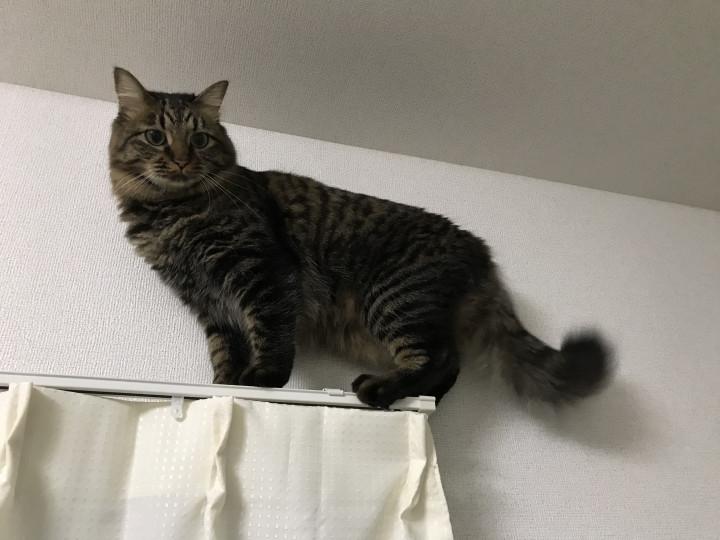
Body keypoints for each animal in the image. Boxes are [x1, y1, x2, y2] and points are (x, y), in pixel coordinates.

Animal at [109, 67, 612, 408]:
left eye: (199, 140)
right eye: (156, 137)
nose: (180, 160)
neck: (171, 214)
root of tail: (479, 250)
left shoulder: (260, 270)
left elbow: (270, 335)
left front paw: (259, 381)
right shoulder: (206, 300)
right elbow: (223, 350)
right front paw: (220, 388)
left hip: (394, 298)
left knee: (439, 358)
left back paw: (380, 389)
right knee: (447, 366)